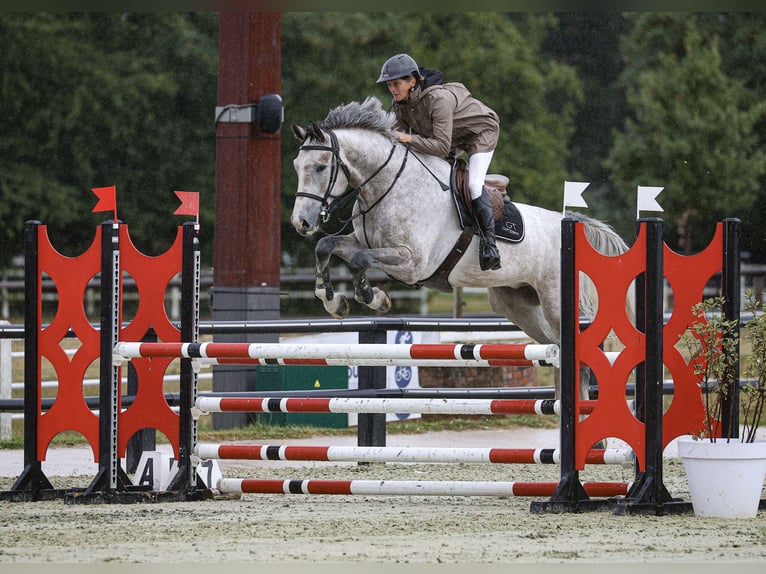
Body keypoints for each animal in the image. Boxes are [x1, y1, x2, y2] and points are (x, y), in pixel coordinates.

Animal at [290, 96, 631, 398]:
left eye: (321, 166)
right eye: (296, 164)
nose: (300, 222)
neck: (387, 185)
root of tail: (569, 223)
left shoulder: (412, 263)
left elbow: (359, 260)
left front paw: (375, 298)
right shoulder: (363, 242)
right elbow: (326, 246)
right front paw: (333, 301)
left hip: (555, 303)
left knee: (573, 354)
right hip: (517, 304)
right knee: (554, 350)